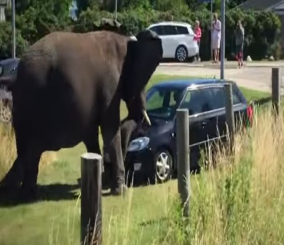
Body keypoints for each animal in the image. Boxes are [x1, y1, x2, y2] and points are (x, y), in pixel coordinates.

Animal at [0, 29, 162, 201]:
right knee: (32, 149)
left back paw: (26, 194)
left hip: (24, 104)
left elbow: (92, 136)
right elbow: (110, 128)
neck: (124, 40)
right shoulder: (110, 83)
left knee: (28, 151)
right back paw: (26, 194)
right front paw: (120, 192)